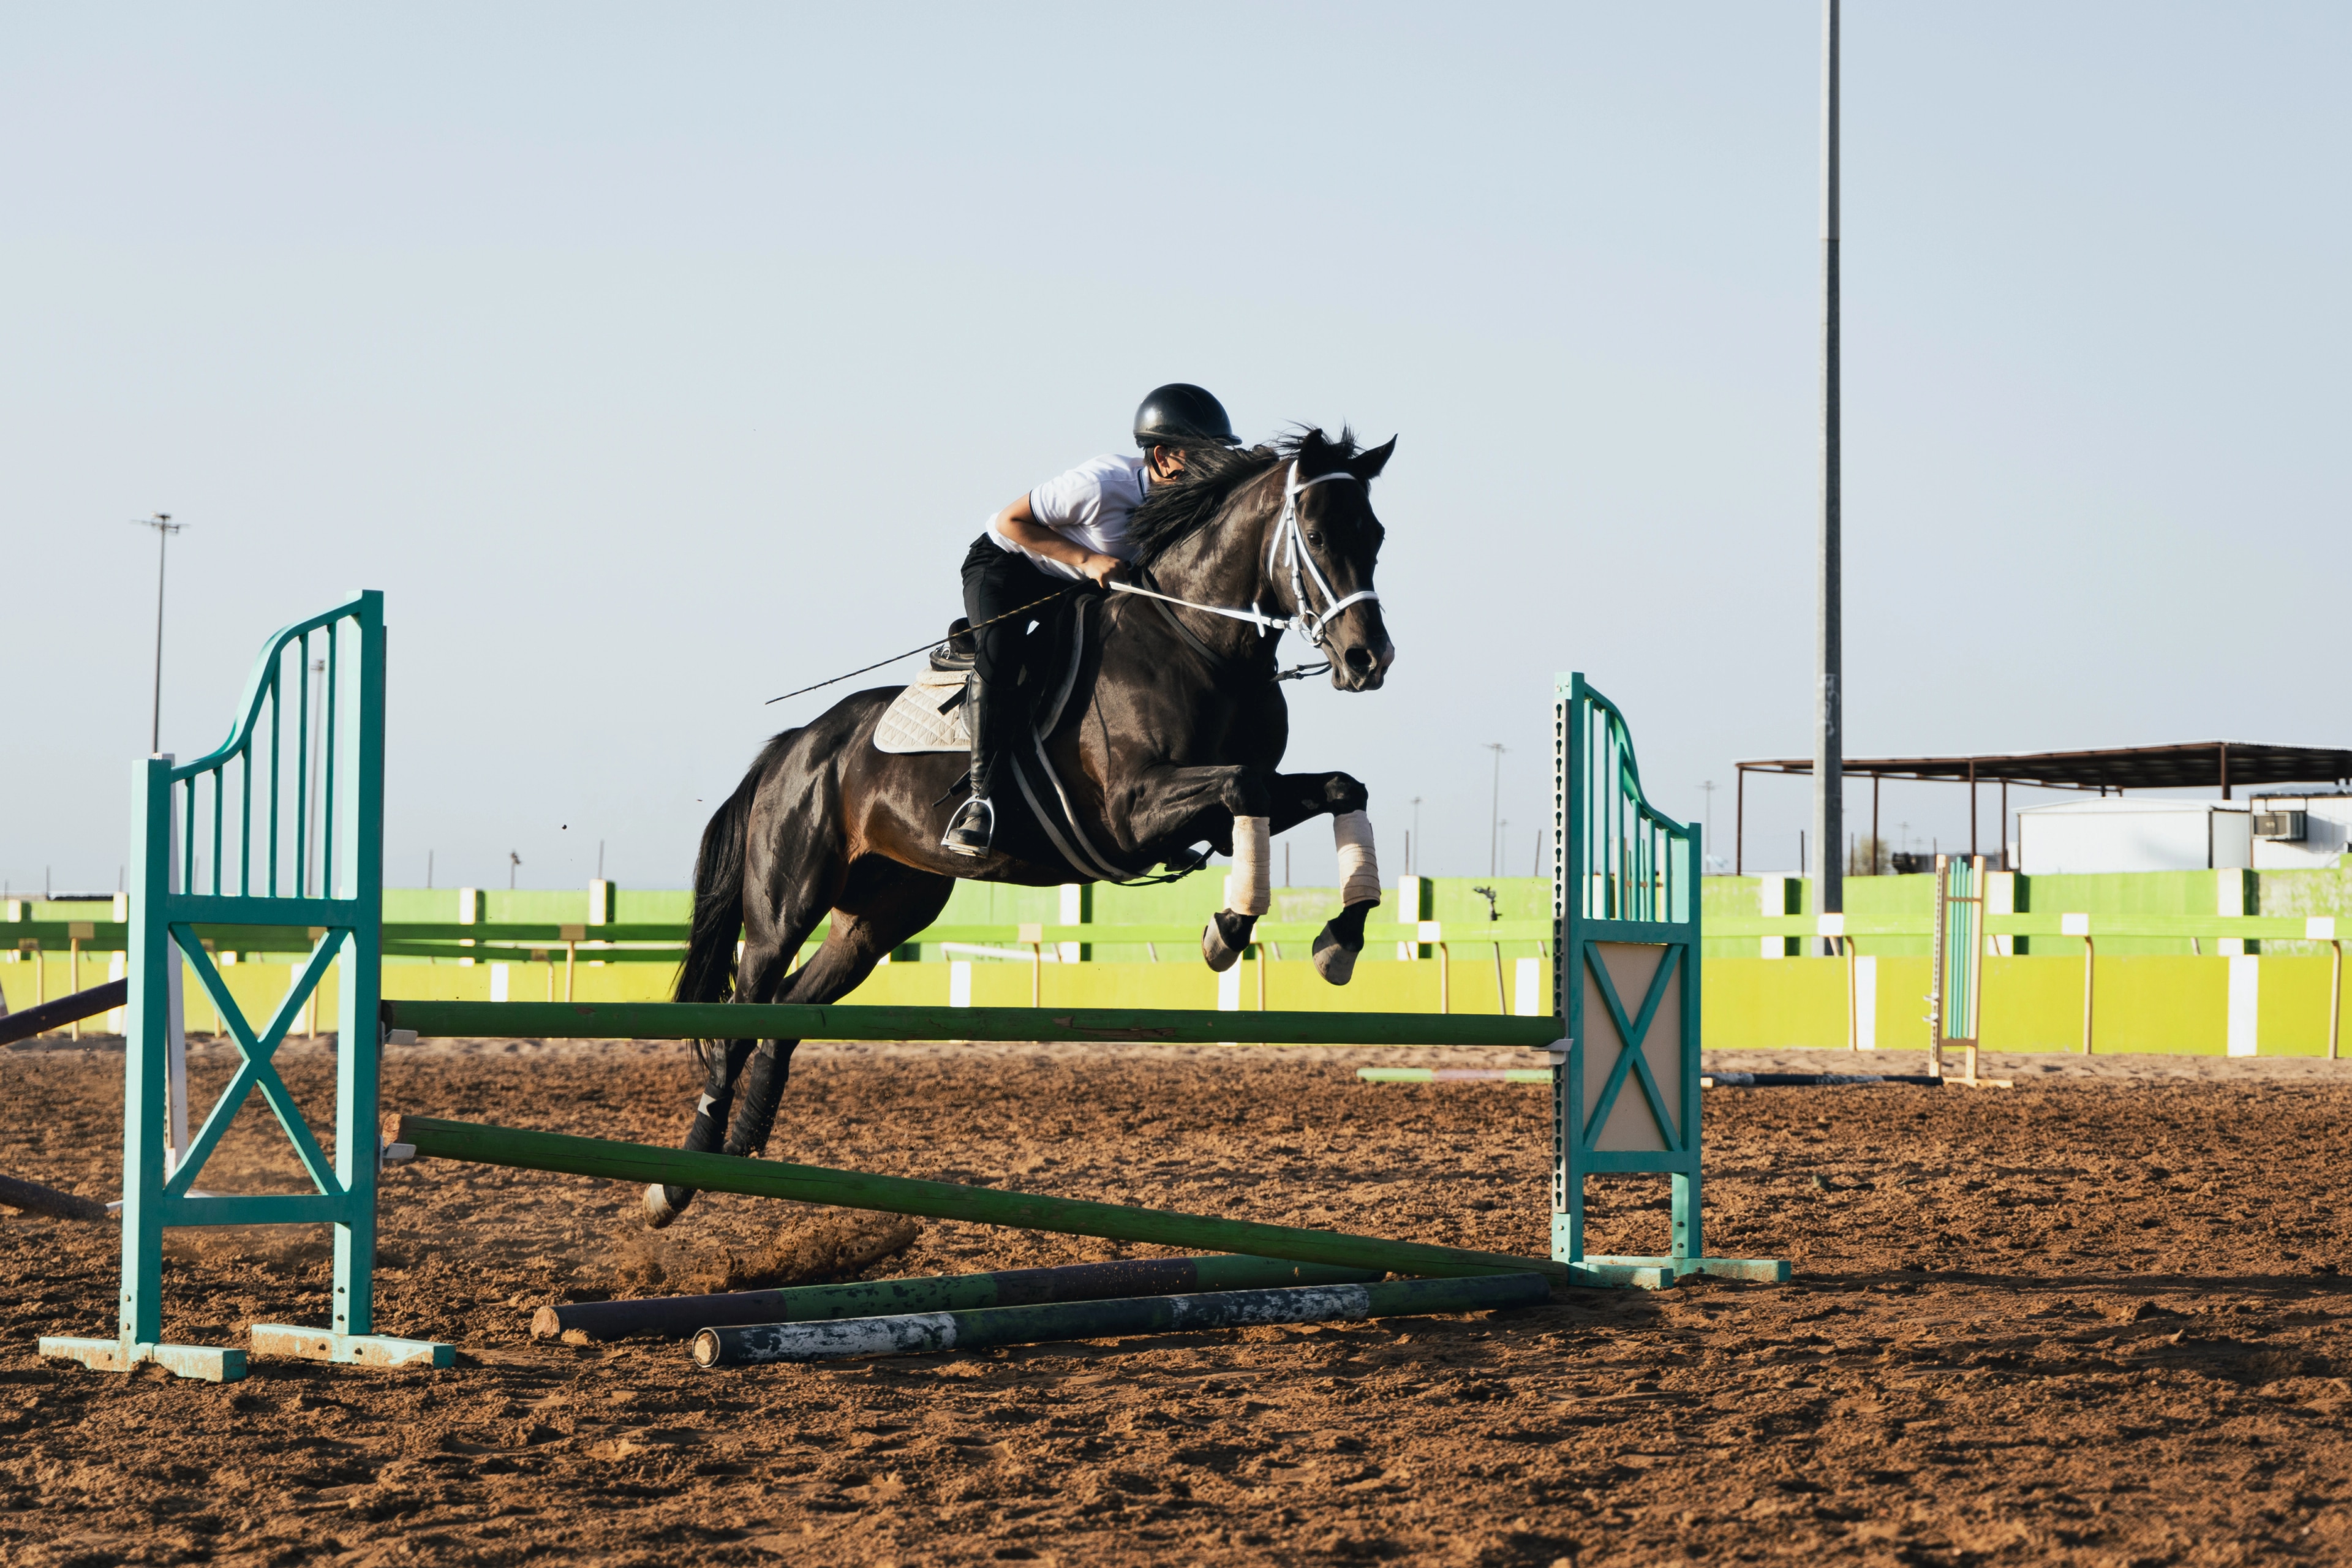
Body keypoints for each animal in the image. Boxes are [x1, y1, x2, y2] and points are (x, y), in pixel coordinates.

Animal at [644, 427, 1398, 1226]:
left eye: (1376, 535)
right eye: (1317, 534)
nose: (1367, 659)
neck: (1197, 640)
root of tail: (796, 745)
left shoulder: (1228, 806)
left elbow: (1338, 786)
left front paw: (1340, 940)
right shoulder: (1134, 812)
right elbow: (1243, 784)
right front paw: (1227, 930)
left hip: (880, 917)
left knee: (789, 1009)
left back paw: (743, 1141)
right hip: (785, 904)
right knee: (740, 1013)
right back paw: (676, 1181)